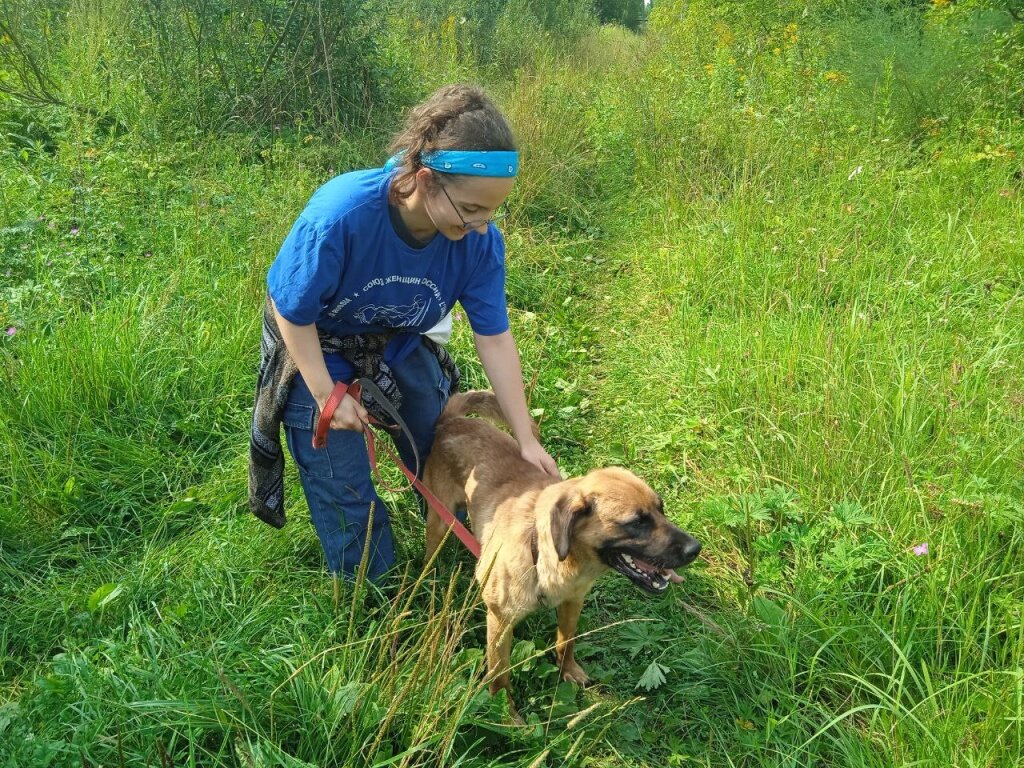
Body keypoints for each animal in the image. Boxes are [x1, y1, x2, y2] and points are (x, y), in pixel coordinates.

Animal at [423, 393, 704, 720]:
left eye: (662, 509)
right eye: (637, 522)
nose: (695, 549)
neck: (546, 555)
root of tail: (452, 421)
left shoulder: (573, 601)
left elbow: (565, 641)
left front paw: (568, 671)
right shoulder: (500, 622)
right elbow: (500, 675)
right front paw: (506, 714)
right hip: (439, 521)